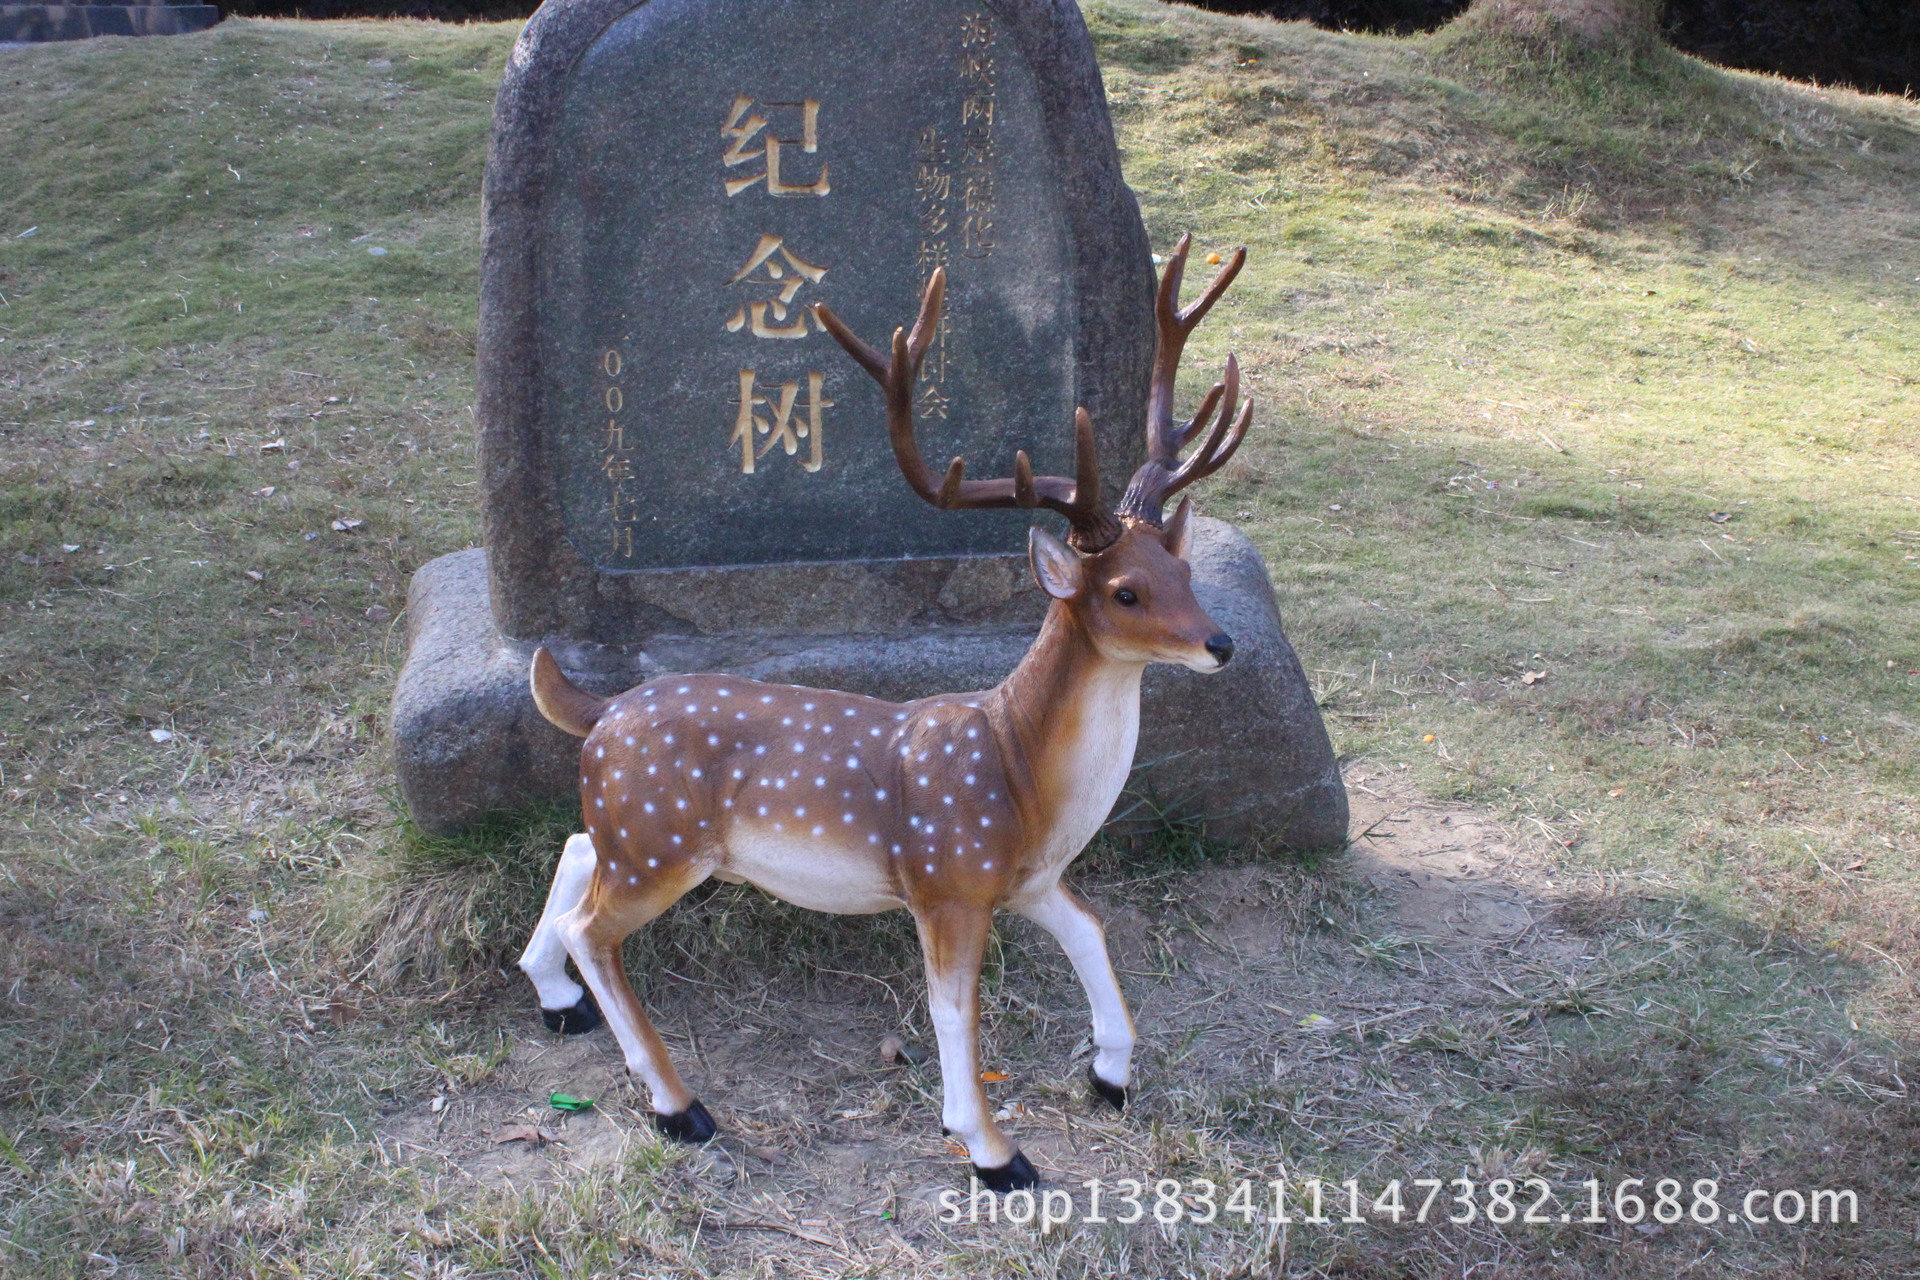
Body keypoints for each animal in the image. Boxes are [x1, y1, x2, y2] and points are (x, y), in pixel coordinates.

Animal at [514, 235, 1251, 1192]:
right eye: (1126, 591)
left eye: (1183, 570)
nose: (1221, 644)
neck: (1019, 777)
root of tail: (598, 710)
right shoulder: (946, 879)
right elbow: (953, 1011)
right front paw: (993, 1152)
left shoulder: (1031, 879)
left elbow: (1093, 937)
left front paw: (1112, 1076)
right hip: (662, 840)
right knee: (594, 927)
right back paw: (679, 1106)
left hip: (636, 833)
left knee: (573, 847)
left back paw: (557, 1000)